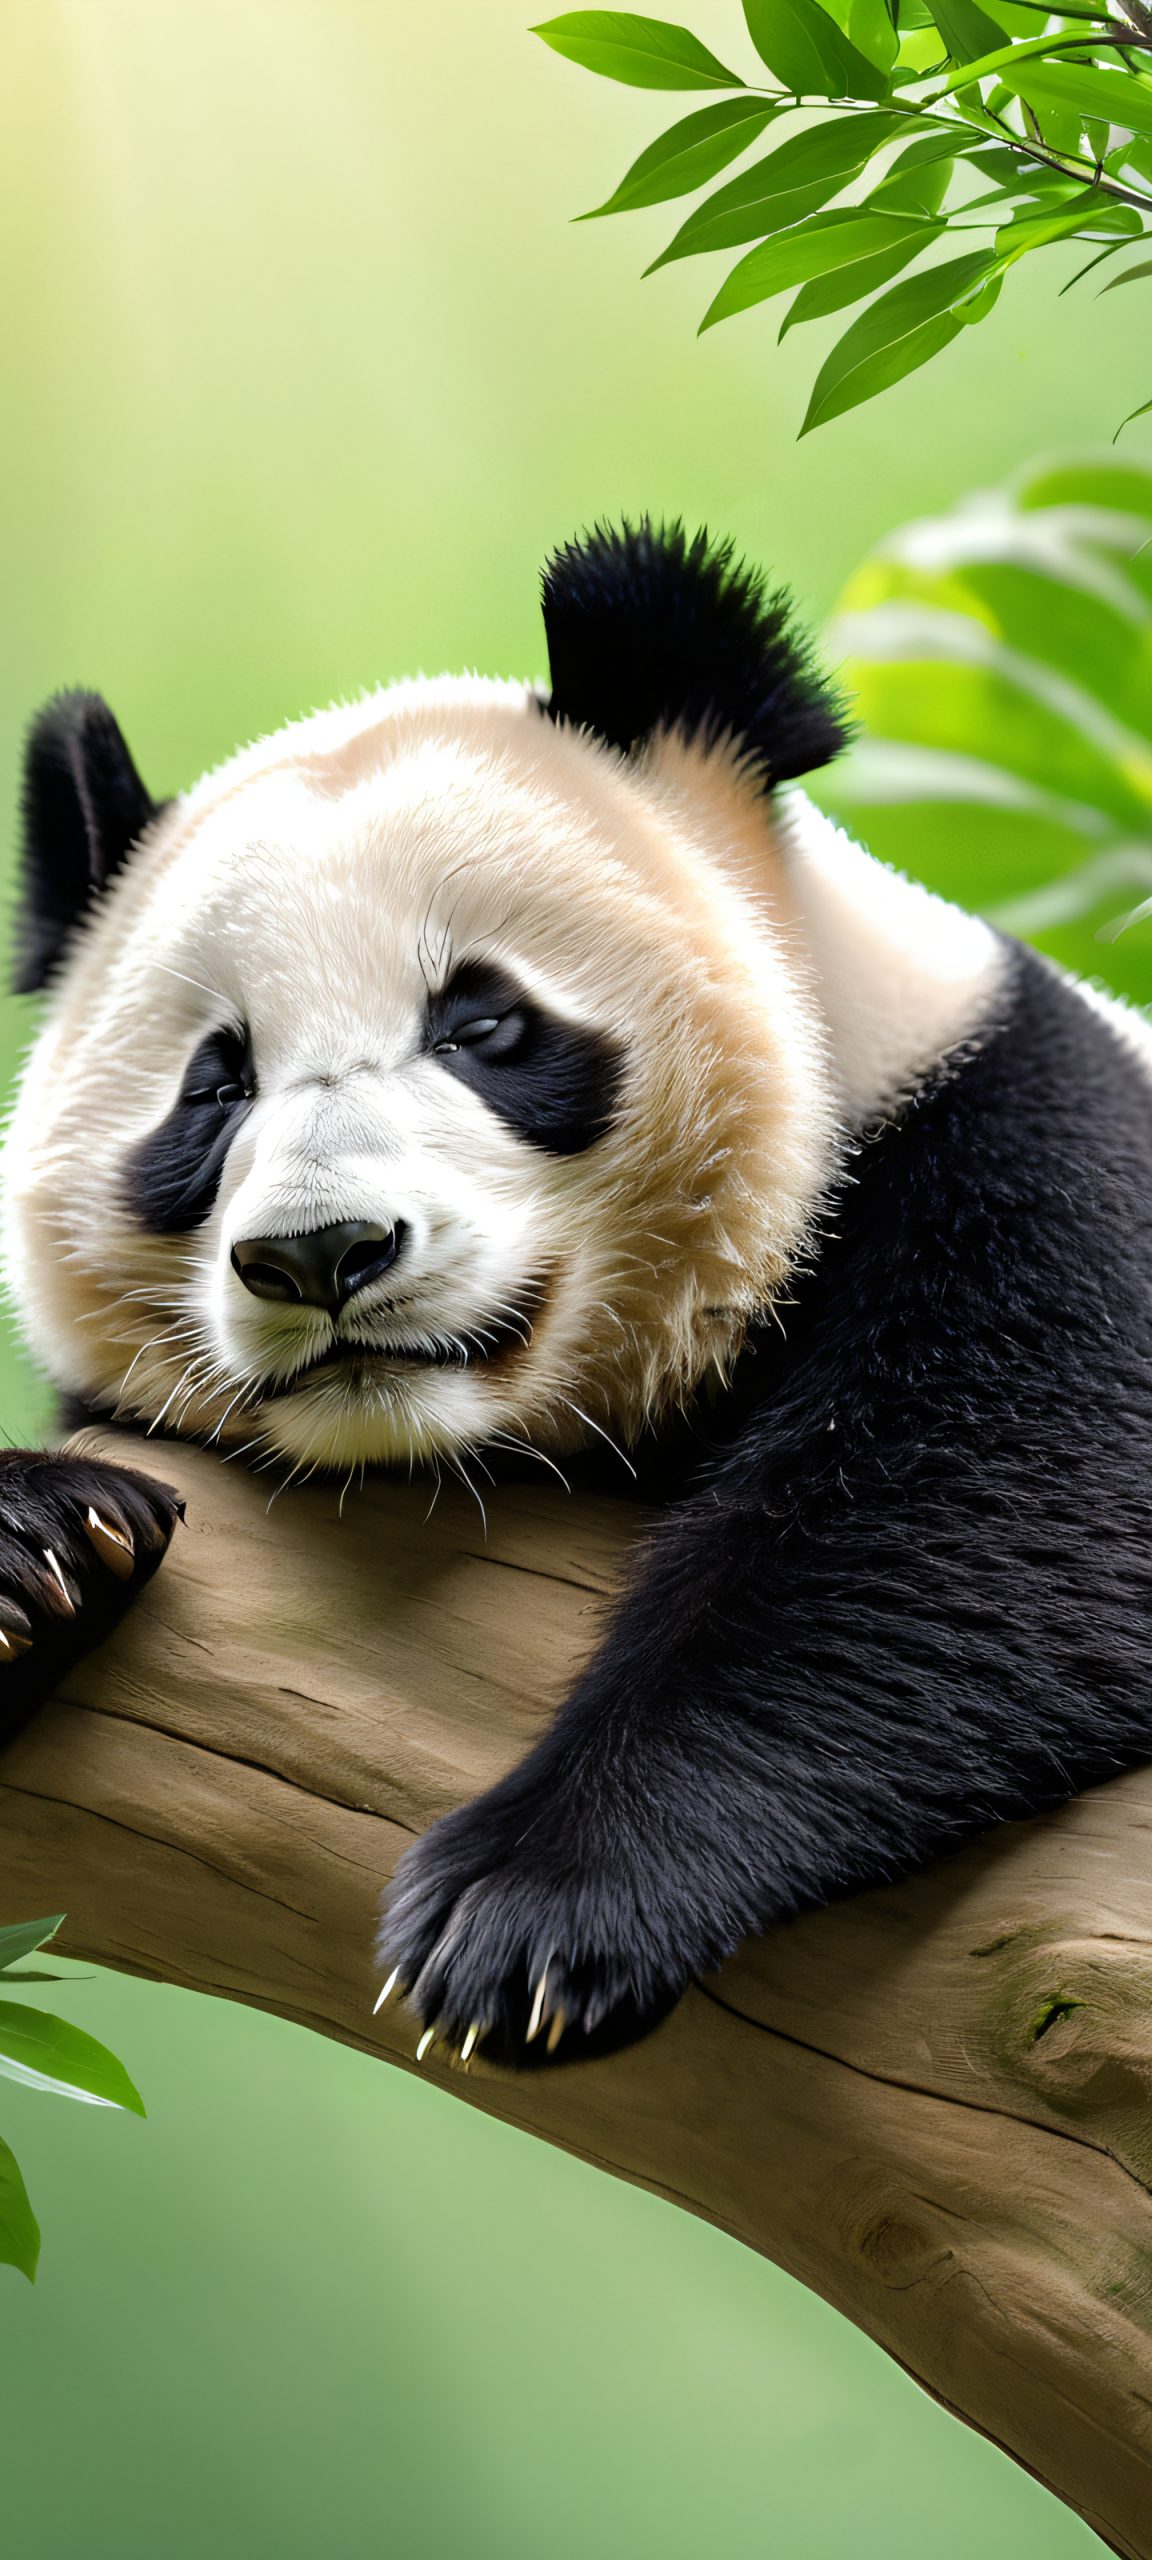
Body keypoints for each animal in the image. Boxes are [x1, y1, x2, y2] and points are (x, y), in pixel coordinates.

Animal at [3, 518, 1152, 2071]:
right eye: (214, 1085)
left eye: (483, 1023)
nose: (322, 1253)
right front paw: (43, 1542)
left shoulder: (1018, 1144)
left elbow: (990, 1510)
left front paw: (527, 1915)